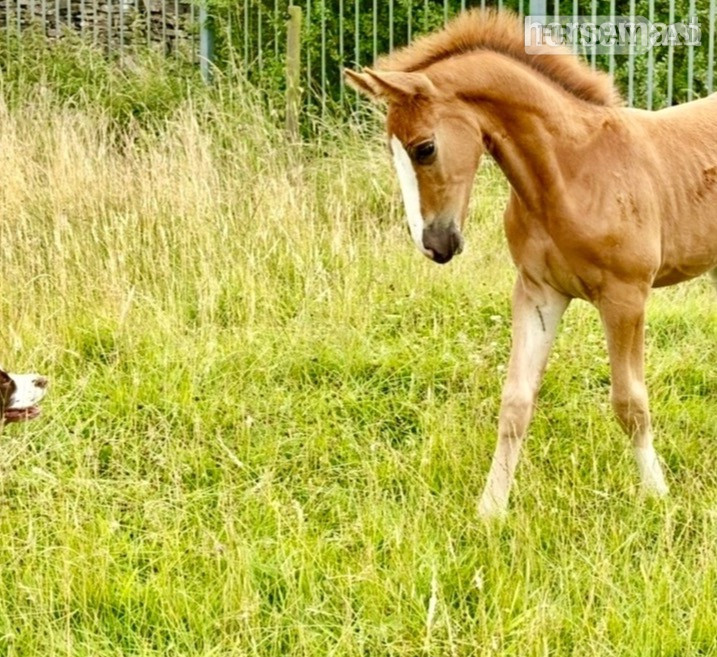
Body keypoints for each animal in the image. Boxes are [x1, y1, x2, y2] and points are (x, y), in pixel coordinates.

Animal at [345, 9, 717, 518]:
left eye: (425, 148)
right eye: (393, 151)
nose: (434, 245)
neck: (570, 172)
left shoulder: (626, 296)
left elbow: (630, 403)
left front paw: (656, 494)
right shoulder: (538, 293)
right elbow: (515, 403)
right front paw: (490, 509)